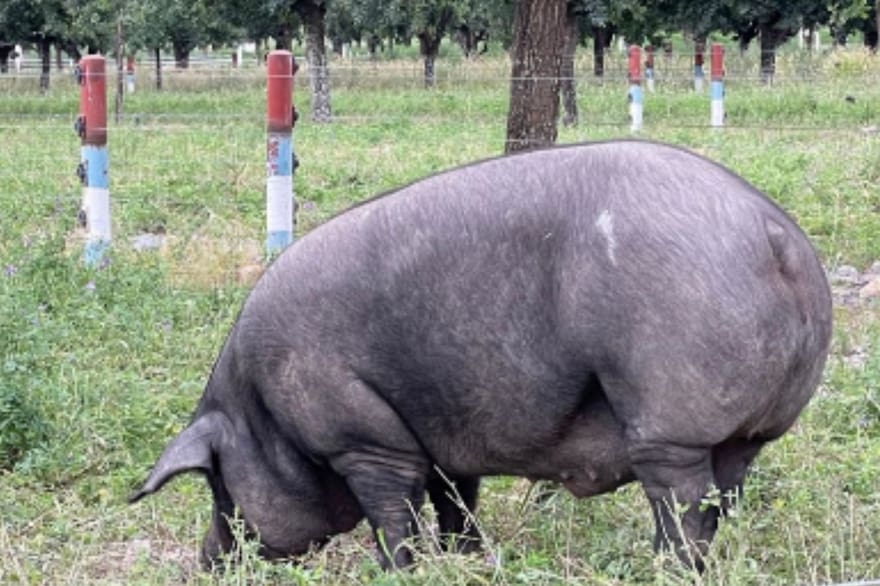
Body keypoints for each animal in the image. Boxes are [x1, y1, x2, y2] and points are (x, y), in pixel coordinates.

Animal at [131, 140, 832, 572]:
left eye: (219, 488)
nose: (206, 559)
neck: (262, 414)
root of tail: (774, 235)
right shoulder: (443, 439)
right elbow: (456, 504)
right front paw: (466, 561)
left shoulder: (363, 440)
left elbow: (393, 516)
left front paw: (393, 570)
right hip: (750, 431)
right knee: (722, 498)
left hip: (670, 413)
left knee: (682, 504)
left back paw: (662, 567)